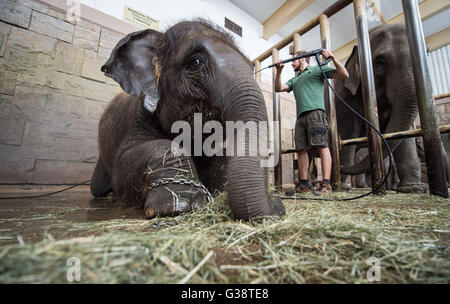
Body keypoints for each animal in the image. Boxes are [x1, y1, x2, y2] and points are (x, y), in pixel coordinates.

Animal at [89, 19, 284, 221]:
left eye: (252, 69)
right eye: (195, 61)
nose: (277, 203)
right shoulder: (139, 116)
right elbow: (124, 162)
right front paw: (179, 205)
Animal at [334, 25, 428, 194]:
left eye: (427, 52)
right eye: (379, 62)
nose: (342, 167)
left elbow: (403, 134)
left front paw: (414, 189)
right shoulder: (343, 99)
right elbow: (349, 134)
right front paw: (344, 188)